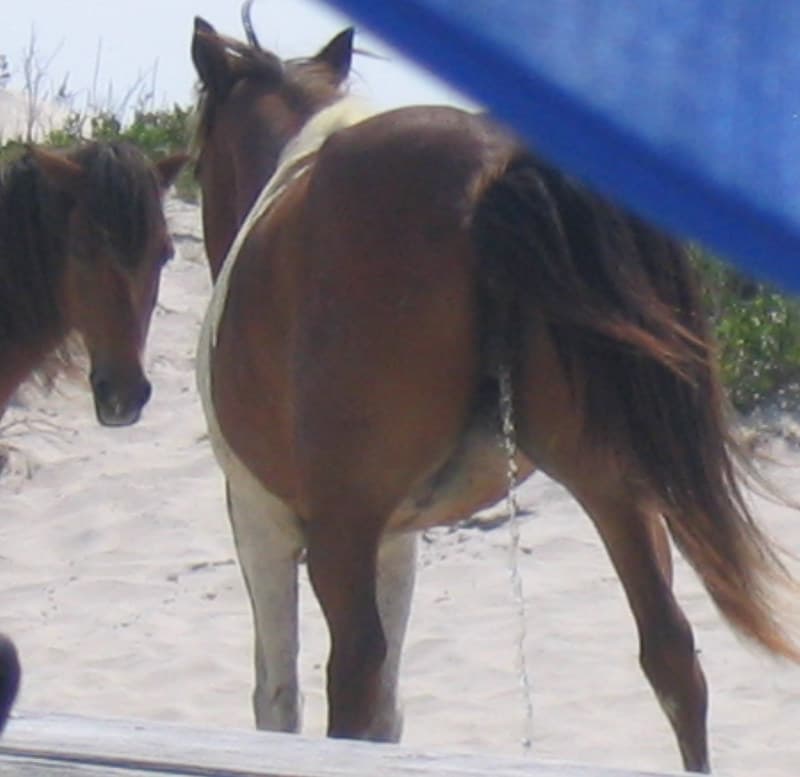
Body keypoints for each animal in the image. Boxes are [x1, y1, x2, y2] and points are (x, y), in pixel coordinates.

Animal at [190, 14, 799, 773]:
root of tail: (493, 167)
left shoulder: (262, 516)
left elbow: (278, 698)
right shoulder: (396, 534)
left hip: (341, 529)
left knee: (353, 672)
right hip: (613, 484)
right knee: (671, 654)